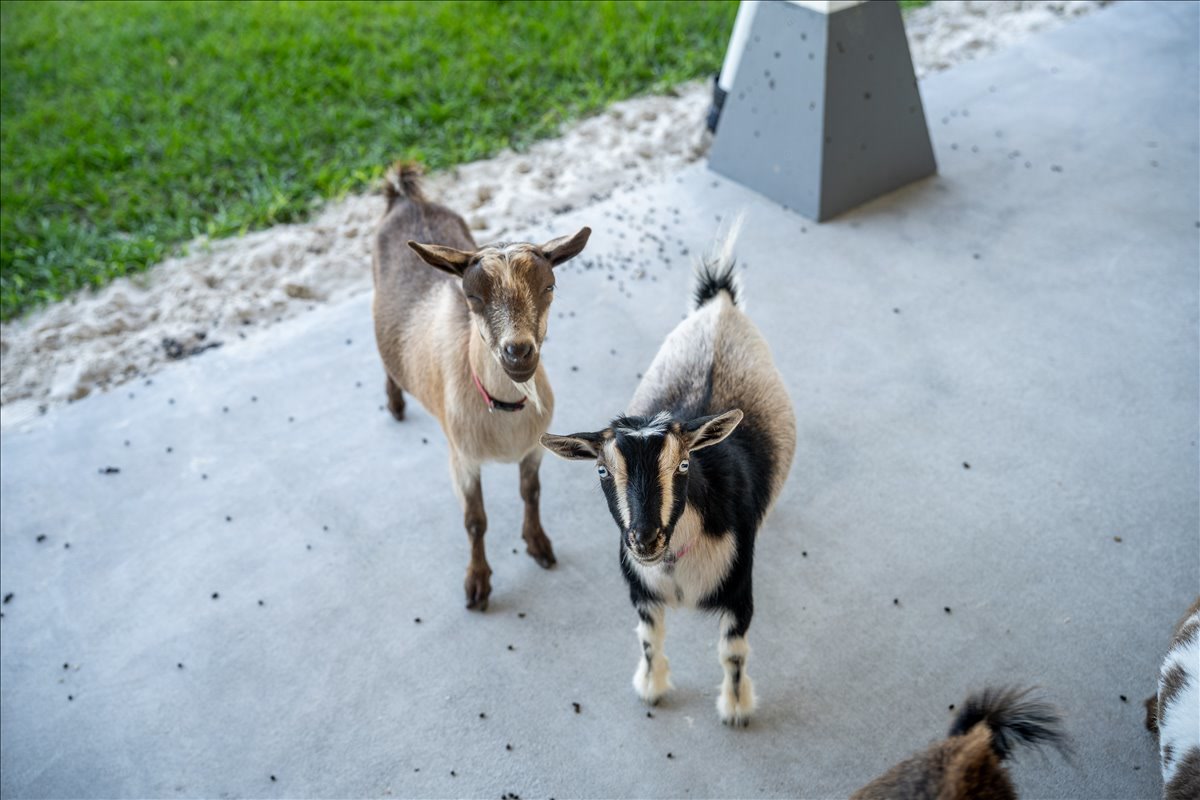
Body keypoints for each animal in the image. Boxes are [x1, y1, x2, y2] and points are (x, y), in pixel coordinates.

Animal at [372, 162, 590, 611]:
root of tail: (406, 198)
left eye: (549, 287)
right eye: (472, 296)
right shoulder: (463, 459)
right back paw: (395, 404)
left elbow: (531, 493)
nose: (518, 352)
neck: (503, 410)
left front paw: (538, 545)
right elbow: (475, 521)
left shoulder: (532, 450)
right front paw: (477, 584)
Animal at [541, 218, 796, 725]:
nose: (645, 539)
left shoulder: (740, 592)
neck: (675, 564)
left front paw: (736, 710)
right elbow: (647, 639)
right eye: (602, 471)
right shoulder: (643, 595)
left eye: (683, 463)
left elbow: (733, 653)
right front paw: (652, 688)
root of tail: (719, 306)